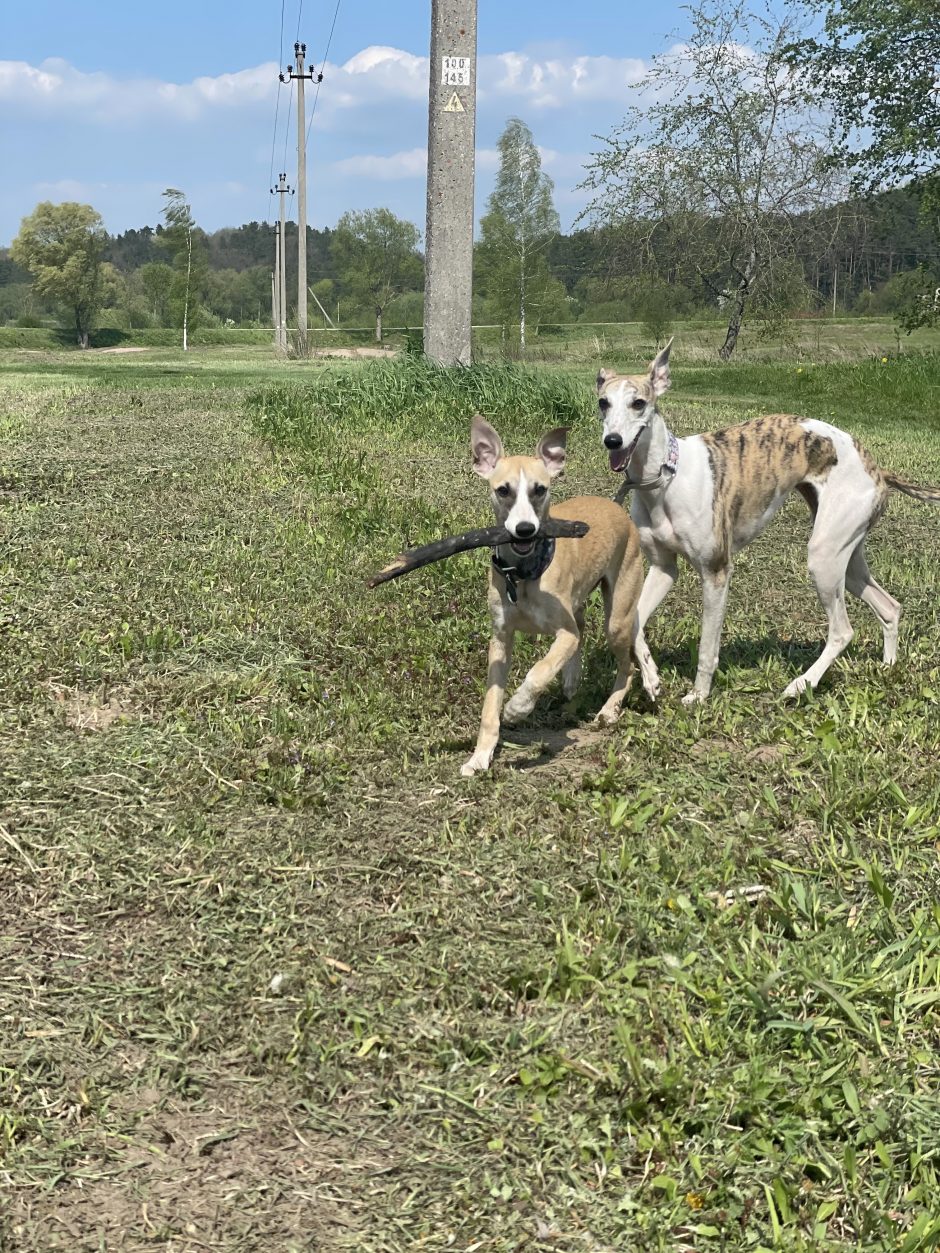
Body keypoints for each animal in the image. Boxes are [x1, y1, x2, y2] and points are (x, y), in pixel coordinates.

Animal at [461, 415, 656, 776]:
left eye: (540, 489)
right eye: (503, 490)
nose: (525, 530)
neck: (525, 575)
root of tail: (614, 504)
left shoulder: (564, 634)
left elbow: (539, 670)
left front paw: (518, 706)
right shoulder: (500, 638)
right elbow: (490, 705)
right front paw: (480, 756)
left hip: (617, 612)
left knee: (626, 662)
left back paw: (611, 707)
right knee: (597, 631)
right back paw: (575, 677)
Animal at [599, 343, 940, 706]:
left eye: (639, 403)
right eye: (603, 402)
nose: (613, 441)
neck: (665, 477)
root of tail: (877, 469)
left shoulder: (716, 571)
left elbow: (707, 647)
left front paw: (699, 695)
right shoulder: (664, 569)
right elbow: (631, 621)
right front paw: (651, 678)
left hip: (824, 557)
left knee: (842, 631)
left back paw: (801, 684)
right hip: (846, 557)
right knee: (890, 607)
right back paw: (887, 667)